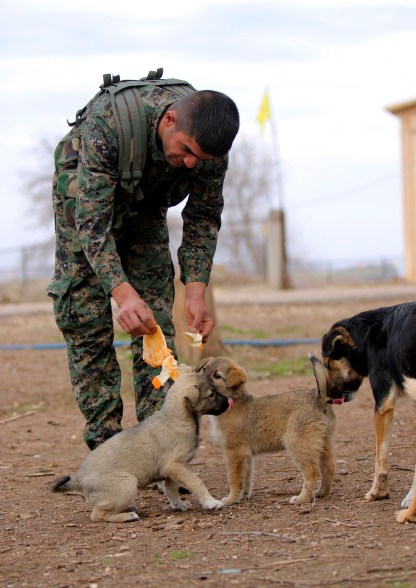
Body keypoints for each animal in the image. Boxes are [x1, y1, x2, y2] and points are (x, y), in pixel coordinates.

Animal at [51, 368, 231, 524]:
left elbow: (171, 490)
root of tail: (79, 478)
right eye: (211, 394)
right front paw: (210, 502)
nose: (229, 402)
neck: (178, 418)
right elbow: (196, 482)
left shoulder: (171, 470)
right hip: (127, 484)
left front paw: (178, 504)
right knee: (97, 515)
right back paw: (127, 516)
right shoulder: (176, 466)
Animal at [195, 352, 334, 508]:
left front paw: (231, 499)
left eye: (217, 376)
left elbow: (234, 479)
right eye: (204, 369)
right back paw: (321, 492)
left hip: (298, 444)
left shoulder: (234, 452)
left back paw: (302, 498)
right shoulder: (246, 455)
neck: (233, 401)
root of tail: (319, 399)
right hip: (322, 443)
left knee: (312, 472)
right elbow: (246, 478)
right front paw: (243, 496)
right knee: (328, 468)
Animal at [324, 304, 416, 524]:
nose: (328, 399)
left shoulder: (383, 404)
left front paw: (378, 492)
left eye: (328, 364)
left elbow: (380, 456)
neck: (369, 334)